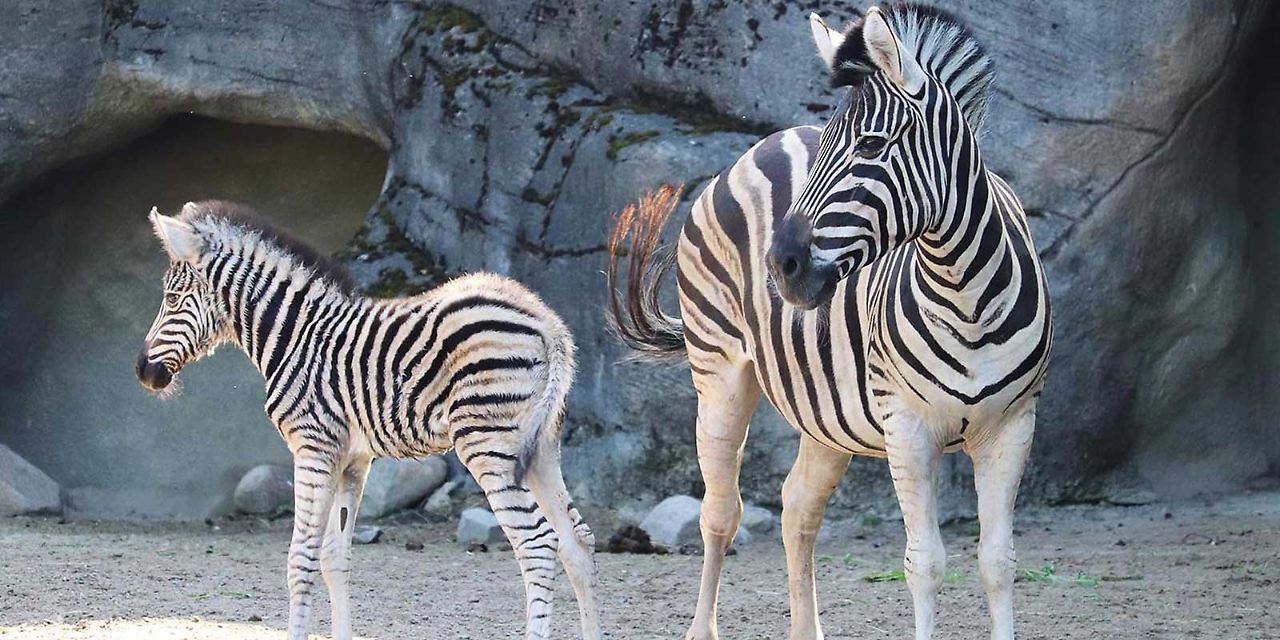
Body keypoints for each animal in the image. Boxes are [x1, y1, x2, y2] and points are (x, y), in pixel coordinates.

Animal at [135, 200, 599, 640]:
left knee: (537, 544)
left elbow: (301, 557)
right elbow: (334, 557)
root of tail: (546, 324)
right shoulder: (352, 461)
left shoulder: (314, 447)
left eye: (171, 299)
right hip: (539, 447)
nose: (142, 371)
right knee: (577, 541)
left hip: (486, 442)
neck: (296, 337)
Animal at [609, 5, 1049, 640]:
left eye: (871, 143)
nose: (780, 265)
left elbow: (998, 562)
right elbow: (925, 563)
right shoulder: (907, 427)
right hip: (719, 374)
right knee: (720, 513)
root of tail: (772, 139)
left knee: (797, 507)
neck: (964, 295)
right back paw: (703, 625)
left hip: (825, 413)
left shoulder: (1012, 426)